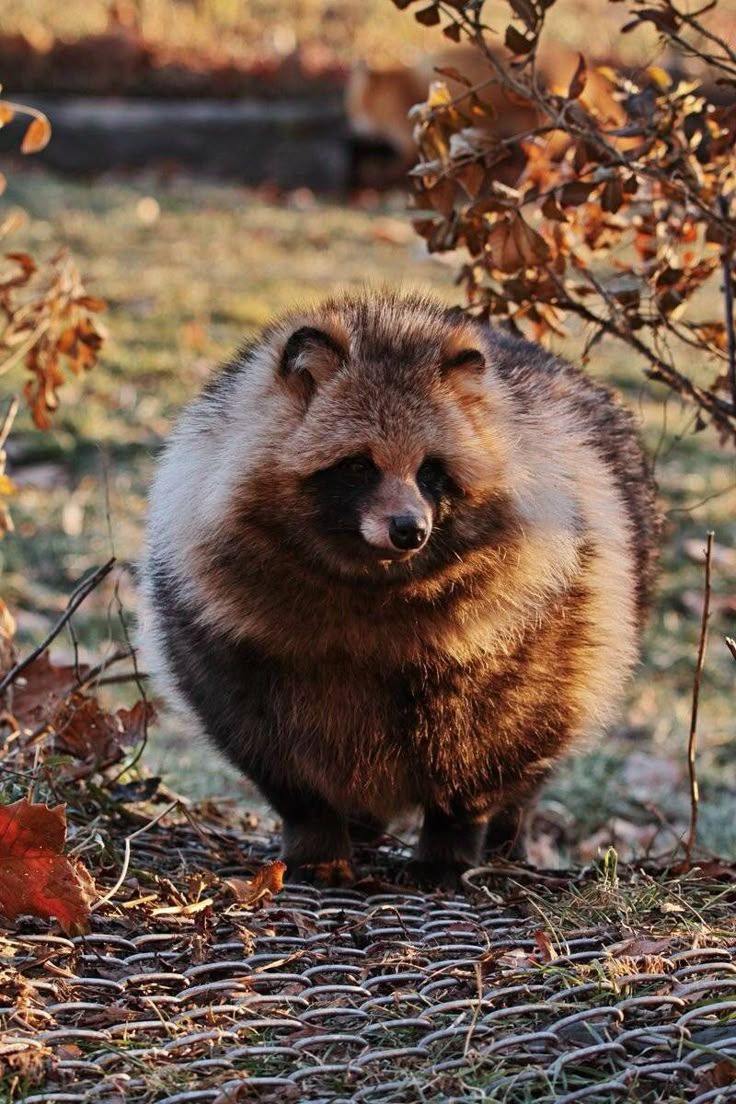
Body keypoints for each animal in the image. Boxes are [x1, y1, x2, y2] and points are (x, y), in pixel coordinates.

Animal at [140, 291, 659, 886]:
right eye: (358, 466)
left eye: (431, 471)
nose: (410, 529)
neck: (372, 580)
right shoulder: (224, 632)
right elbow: (271, 749)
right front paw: (317, 834)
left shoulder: (536, 626)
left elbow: (492, 744)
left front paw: (450, 841)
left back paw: (507, 835)